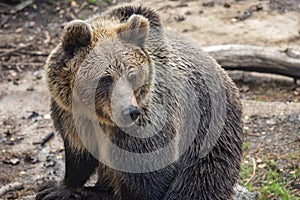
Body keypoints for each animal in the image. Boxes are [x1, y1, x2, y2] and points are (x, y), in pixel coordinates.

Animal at [37, 4, 244, 200]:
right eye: (105, 78)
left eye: (133, 76)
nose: (129, 111)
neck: (100, 118)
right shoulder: (73, 116)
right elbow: (78, 154)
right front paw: (56, 188)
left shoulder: (146, 126)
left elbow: (147, 174)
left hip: (208, 134)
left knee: (199, 181)